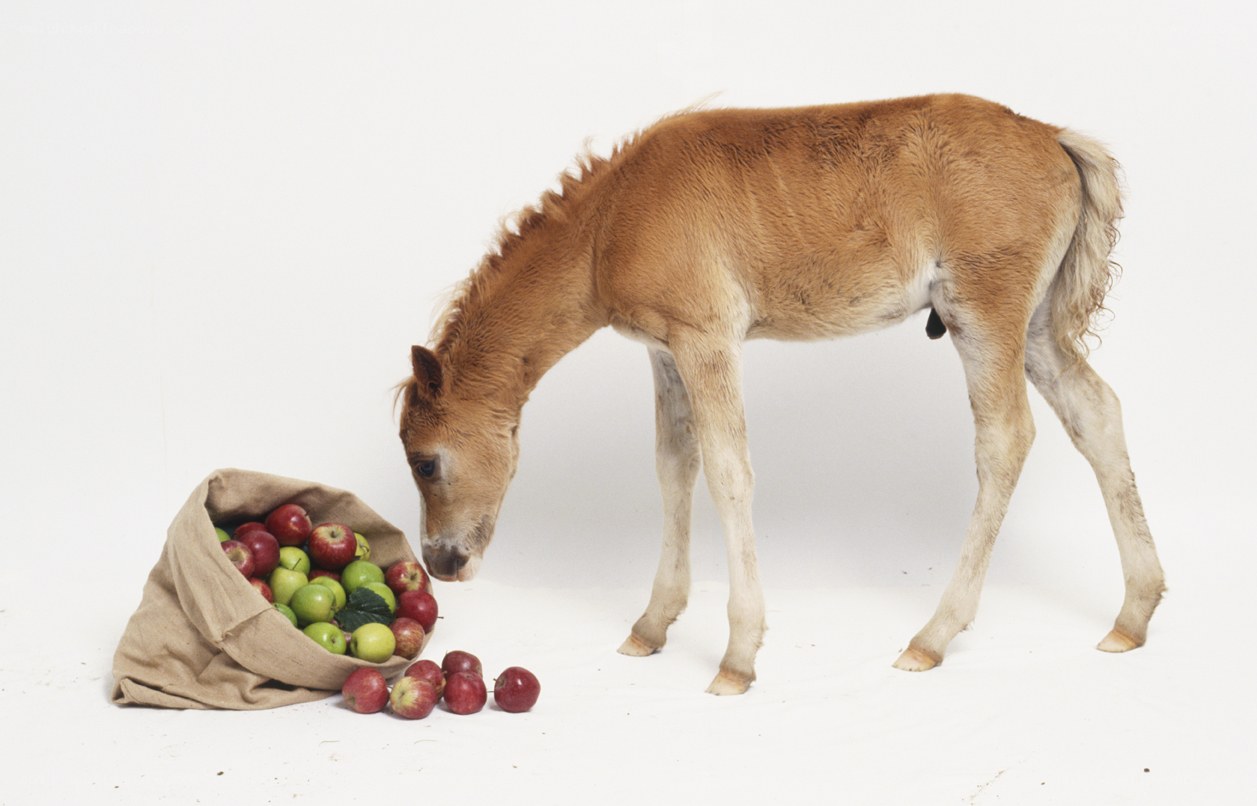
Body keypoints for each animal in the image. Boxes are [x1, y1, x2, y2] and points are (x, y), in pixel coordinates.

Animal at [396, 94, 1166, 695]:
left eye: (426, 461)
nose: (441, 562)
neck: (608, 219)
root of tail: (1053, 136)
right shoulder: (663, 349)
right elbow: (674, 467)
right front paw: (650, 625)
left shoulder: (706, 337)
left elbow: (728, 473)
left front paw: (737, 658)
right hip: (1034, 325)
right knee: (1097, 413)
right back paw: (1132, 616)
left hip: (985, 312)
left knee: (1006, 439)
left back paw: (932, 636)